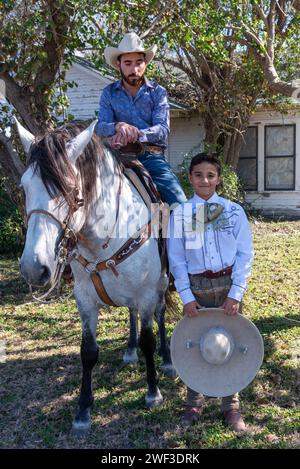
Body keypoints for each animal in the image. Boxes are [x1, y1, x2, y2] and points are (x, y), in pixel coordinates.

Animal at [17, 119, 173, 434]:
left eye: (71, 190)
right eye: (24, 187)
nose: (33, 268)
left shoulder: (146, 293)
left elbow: (149, 339)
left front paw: (153, 392)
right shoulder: (85, 299)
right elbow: (88, 351)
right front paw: (83, 410)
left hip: (161, 284)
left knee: (161, 313)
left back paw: (165, 358)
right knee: (130, 313)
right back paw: (129, 351)